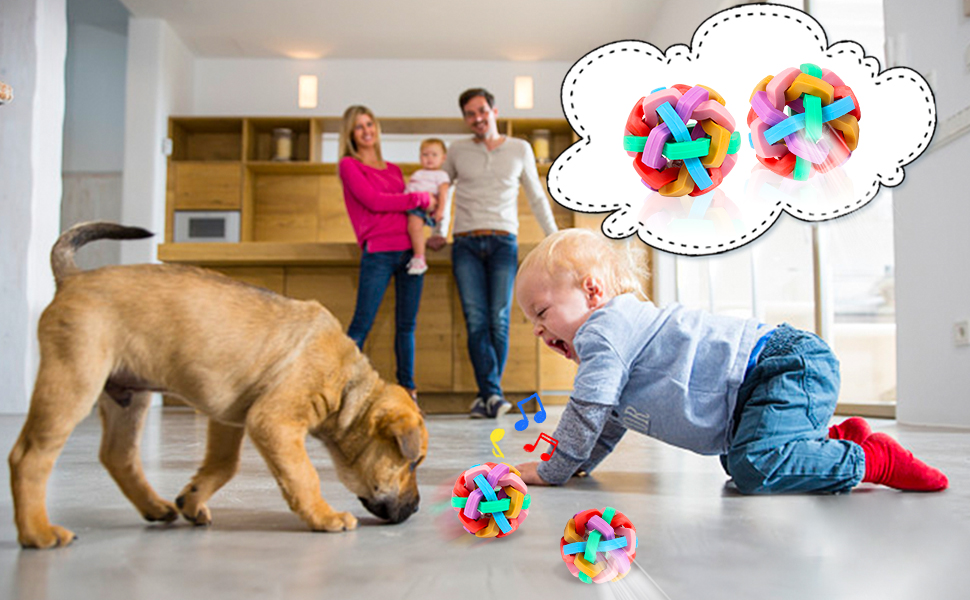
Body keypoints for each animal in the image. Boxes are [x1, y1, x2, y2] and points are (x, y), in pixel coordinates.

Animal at [9, 222, 427, 549]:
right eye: (413, 462)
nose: (418, 507)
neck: (347, 386)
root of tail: (72, 278)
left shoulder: (231, 418)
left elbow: (224, 465)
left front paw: (191, 501)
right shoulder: (272, 422)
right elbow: (303, 475)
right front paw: (325, 517)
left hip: (127, 397)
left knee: (117, 455)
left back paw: (155, 506)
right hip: (74, 380)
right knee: (29, 455)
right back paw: (38, 533)